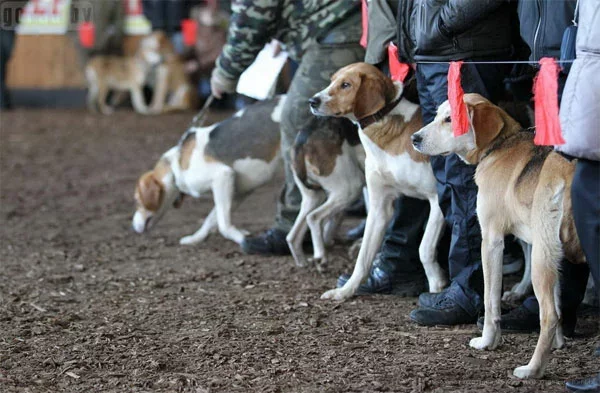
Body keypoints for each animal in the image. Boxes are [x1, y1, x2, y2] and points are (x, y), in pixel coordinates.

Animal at [133, 96, 286, 243]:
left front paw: (242, 239)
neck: (176, 165)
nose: (132, 227)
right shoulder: (236, 192)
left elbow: (223, 225)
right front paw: (196, 238)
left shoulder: (222, 176)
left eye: (137, 201)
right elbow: (211, 219)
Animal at [288, 116, 366, 270]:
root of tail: (302, 140)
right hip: (351, 188)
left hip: (314, 197)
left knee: (292, 237)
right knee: (313, 217)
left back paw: (303, 263)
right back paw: (321, 257)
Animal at [310, 62, 446, 298]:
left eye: (346, 85)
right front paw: (345, 291)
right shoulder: (379, 207)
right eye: (332, 80)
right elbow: (363, 258)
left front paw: (436, 284)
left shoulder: (437, 199)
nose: (312, 101)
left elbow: (425, 248)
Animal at [412, 93, 584, 378]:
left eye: (450, 119)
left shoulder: (491, 240)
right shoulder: (556, 258)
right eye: (437, 115)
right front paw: (559, 344)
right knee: (554, 311)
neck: (499, 146)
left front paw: (487, 341)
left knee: (548, 315)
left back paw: (532, 369)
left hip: (540, 259)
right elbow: (560, 303)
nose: (414, 138)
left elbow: (490, 300)